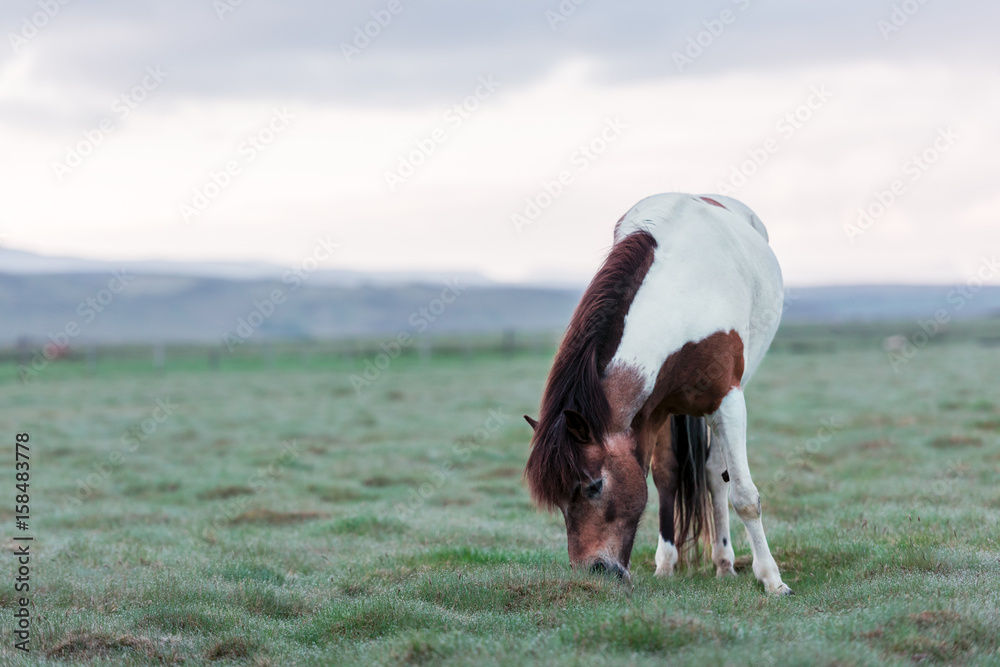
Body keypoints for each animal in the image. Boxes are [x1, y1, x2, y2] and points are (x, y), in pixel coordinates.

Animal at [524, 192, 788, 596]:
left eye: (595, 486)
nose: (593, 571)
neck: (681, 299)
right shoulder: (650, 411)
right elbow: (663, 477)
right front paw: (664, 564)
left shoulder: (729, 401)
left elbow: (744, 496)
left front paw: (772, 579)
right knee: (674, 475)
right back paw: (672, 562)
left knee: (715, 475)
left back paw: (724, 562)